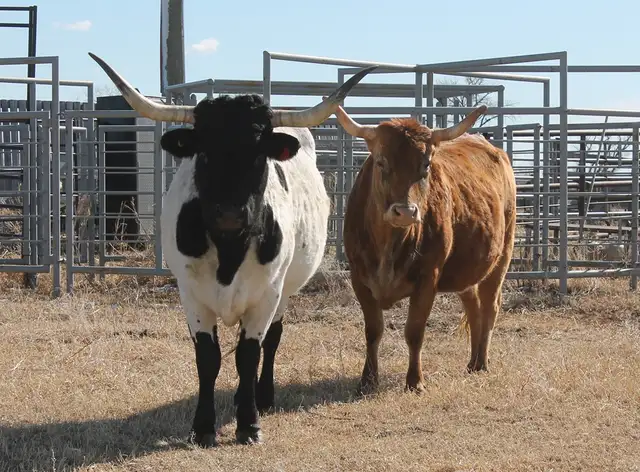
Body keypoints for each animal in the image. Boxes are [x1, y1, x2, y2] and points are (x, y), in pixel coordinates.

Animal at [88, 52, 377, 446]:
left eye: (259, 152)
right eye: (203, 152)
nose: (228, 213)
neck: (229, 250)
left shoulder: (267, 295)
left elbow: (249, 354)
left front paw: (249, 424)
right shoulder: (191, 296)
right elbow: (208, 359)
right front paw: (203, 427)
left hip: (284, 290)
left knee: (272, 340)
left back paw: (260, 397)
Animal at [331, 102, 516, 395]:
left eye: (426, 164)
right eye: (381, 162)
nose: (405, 212)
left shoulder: (428, 279)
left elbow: (414, 331)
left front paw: (415, 381)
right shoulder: (359, 279)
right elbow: (373, 331)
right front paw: (367, 380)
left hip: (501, 258)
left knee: (489, 306)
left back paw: (482, 362)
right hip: (466, 270)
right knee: (473, 306)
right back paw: (472, 362)